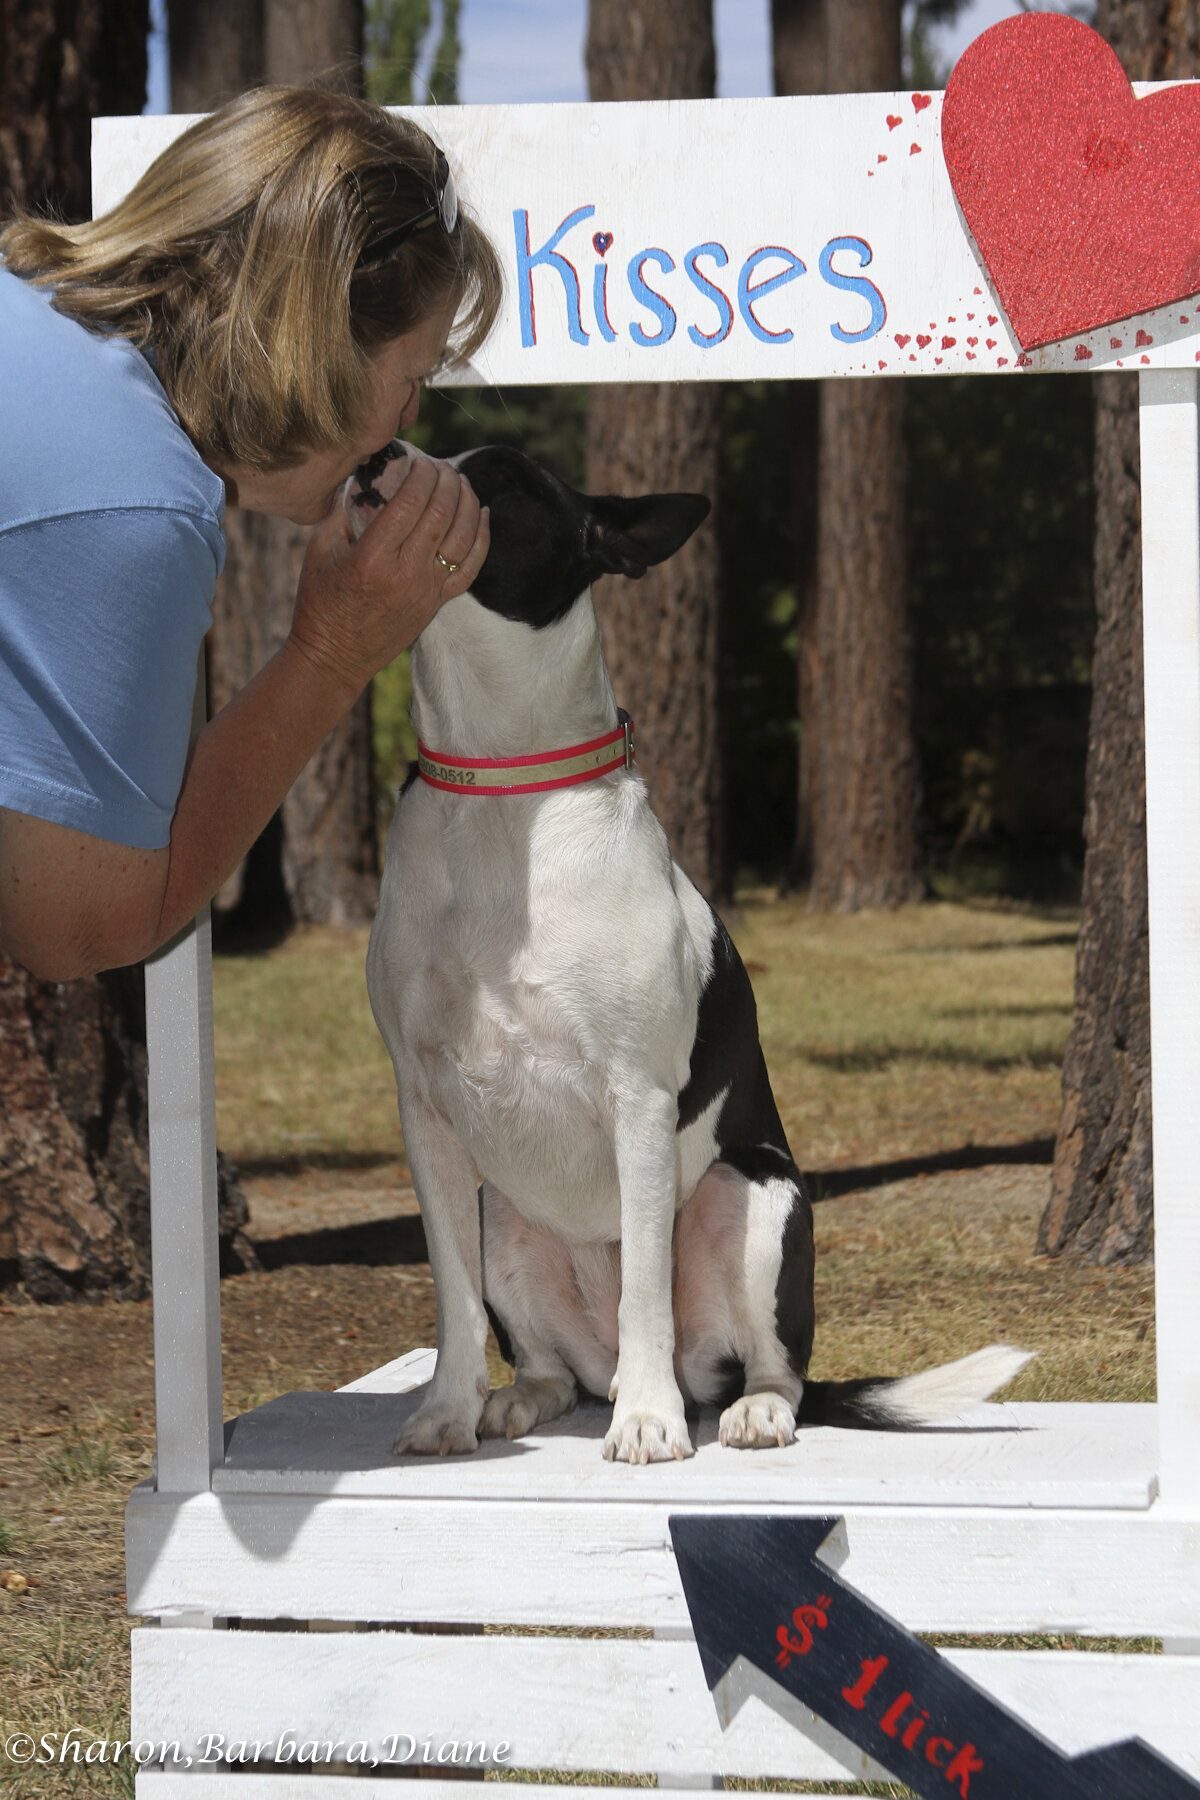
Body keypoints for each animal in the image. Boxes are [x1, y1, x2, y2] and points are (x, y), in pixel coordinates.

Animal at [356, 441, 1029, 1464]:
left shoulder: (637, 1097)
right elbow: (454, 1299)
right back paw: (524, 1398)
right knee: (553, 1365)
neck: (503, 791)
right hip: (501, 1208)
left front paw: (647, 1422)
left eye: (502, 476)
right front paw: (447, 1411)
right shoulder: (424, 1107)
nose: (373, 457)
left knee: (768, 1364)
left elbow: (645, 1289)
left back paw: (737, 1409)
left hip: (750, 1190)